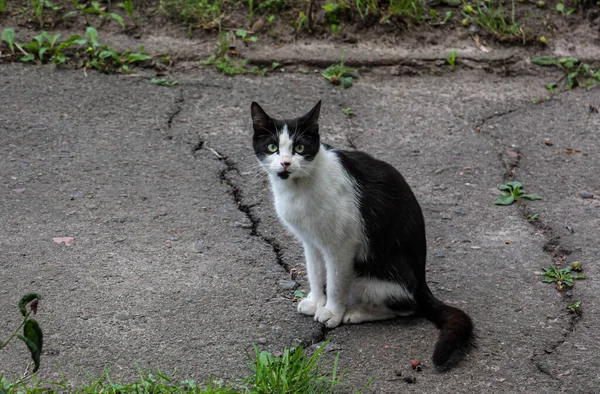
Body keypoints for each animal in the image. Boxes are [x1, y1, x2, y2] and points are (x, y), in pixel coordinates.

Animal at [250, 100, 474, 364]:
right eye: (272, 146)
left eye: (300, 147)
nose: (285, 163)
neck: (299, 187)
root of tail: (421, 285)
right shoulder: (311, 242)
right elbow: (315, 273)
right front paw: (316, 301)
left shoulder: (342, 246)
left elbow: (335, 282)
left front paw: (331, 312)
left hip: (369, 276)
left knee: (407, 306)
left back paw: (357, 313)